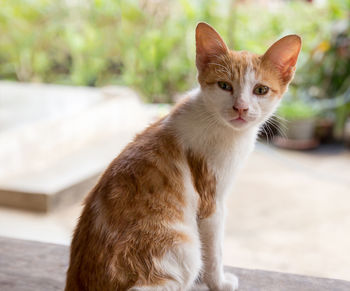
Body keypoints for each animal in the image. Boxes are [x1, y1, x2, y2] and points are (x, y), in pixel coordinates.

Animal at [65, 21, 300, 290]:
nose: (241, 108)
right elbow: (214, 251)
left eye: (261, 90)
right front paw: (218, 282)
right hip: (183, 250)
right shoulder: (212, 203)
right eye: (224, 86)